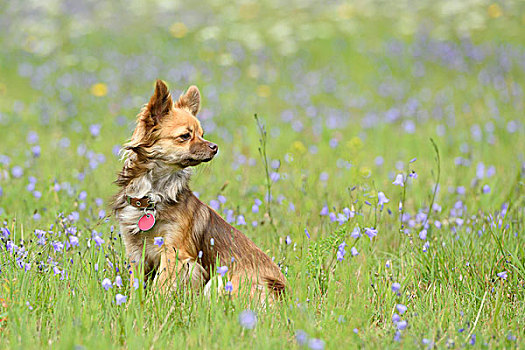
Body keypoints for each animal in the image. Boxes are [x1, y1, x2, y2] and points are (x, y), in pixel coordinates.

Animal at [110, 80, 286, 304]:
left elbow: (161, 287)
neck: (153, 193)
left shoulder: (175, 253)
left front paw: (152, 306)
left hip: (219, 280)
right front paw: (132, 306)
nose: (215, 146)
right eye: (186, 136)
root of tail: (281, 293)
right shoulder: (135, 252)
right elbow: (137, 287)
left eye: (202, 134)